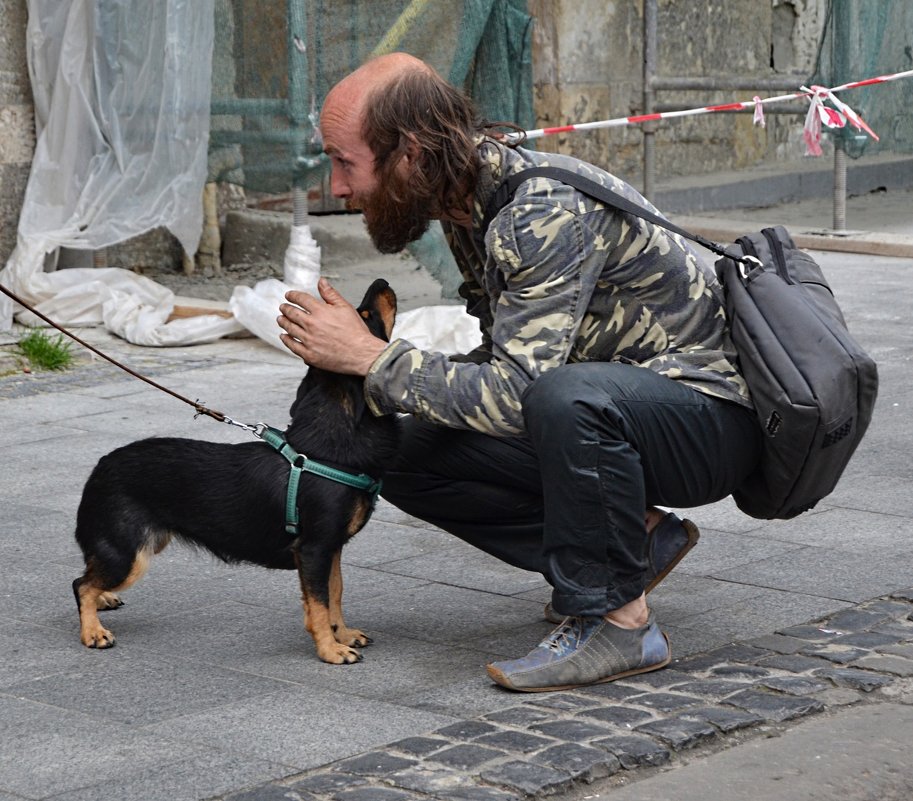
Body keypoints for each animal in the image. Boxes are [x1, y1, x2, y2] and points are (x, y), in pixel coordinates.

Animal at [71, 278, 400, 664]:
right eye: (363, 315)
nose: (381, 282)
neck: (327, 450)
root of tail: (100, 466)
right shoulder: (315, 549)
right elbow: (319, 603)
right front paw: (330, 650)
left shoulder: (330, 549)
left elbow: (335, 592)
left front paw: (342, 634)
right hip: (130, 553)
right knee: (82, 584)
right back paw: (93, 632)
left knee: (91, 577)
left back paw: (103, 602)